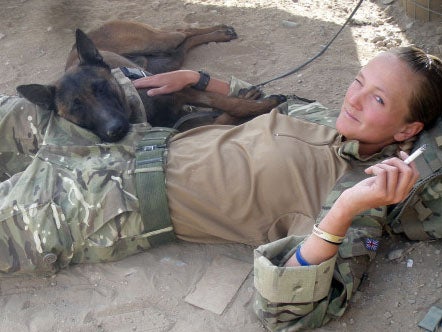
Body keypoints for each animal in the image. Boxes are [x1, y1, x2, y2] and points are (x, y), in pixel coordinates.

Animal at [16, 19, 286, 141]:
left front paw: (262, 104)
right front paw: (250, 99)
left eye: (101, 88)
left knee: (183, 32)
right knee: (185, 42)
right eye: (76, 107)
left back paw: (221, 32)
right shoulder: (177, 125)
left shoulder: (177, 90)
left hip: (160, 44)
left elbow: (228, 104)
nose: (116, 129)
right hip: (168, 60)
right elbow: (217, 118)